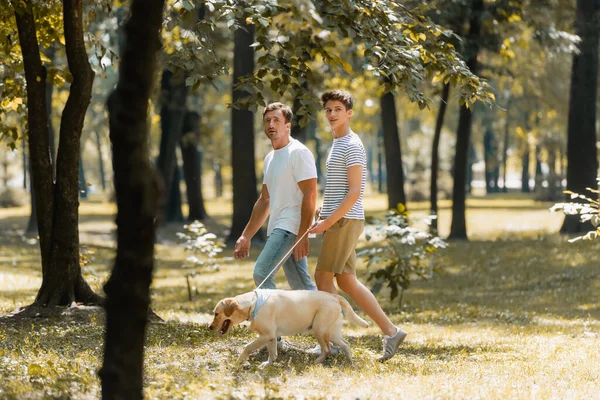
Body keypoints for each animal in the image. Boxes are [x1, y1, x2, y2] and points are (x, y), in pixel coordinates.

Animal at [209, 290, 368, 368]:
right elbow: (272, 353)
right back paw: (350, 362)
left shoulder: (266, 335)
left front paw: (240, 361)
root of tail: (334, 296)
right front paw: (268, 365)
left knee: (327, 349)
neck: (253, 304)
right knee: (345, 344)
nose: (209, 327)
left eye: (216, 314)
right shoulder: (271, 337)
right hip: (331, 332)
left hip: (320, 330)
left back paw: (316, 362)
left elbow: (248, 347)